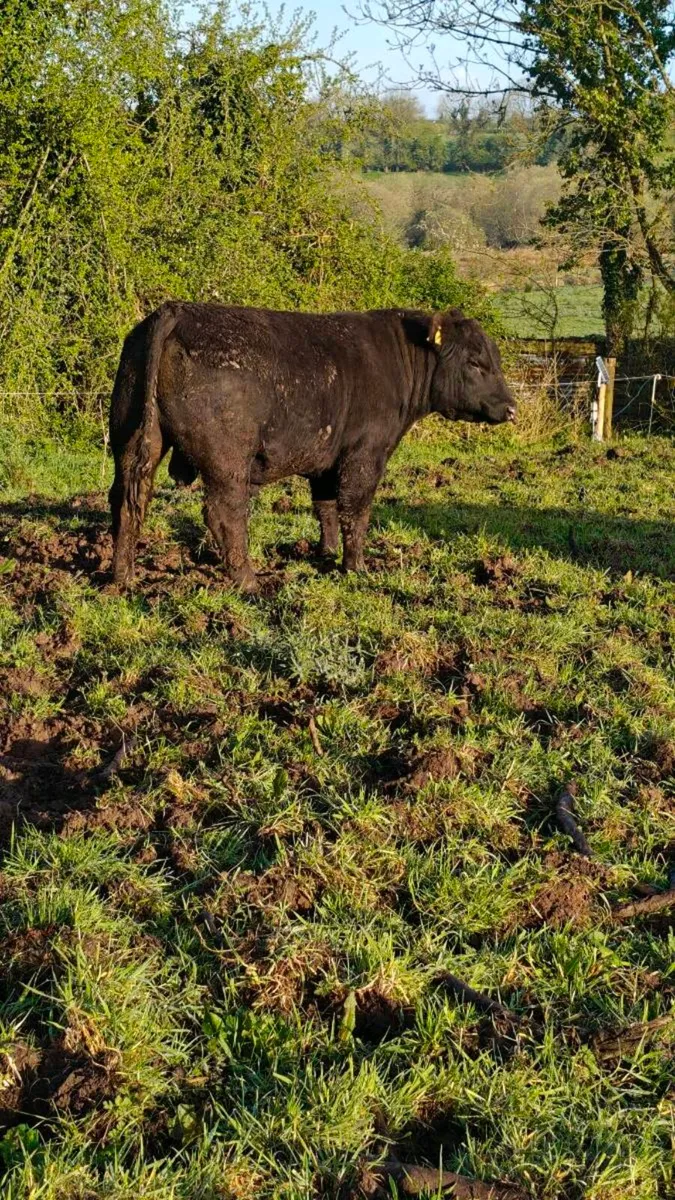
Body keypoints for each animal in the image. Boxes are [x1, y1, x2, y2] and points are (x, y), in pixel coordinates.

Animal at [108, 302, 515, 591]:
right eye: (475, 362)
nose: (511, 407)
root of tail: (177, 310)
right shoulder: (365, 455)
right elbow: (355, 510)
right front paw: (356, 567)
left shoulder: (325, 461)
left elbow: (326, 507)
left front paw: (327, 552)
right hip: (227, 461)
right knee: (224, 513)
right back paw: (248, 581)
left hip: (131, 441)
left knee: (127, 501)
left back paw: (121, 577)